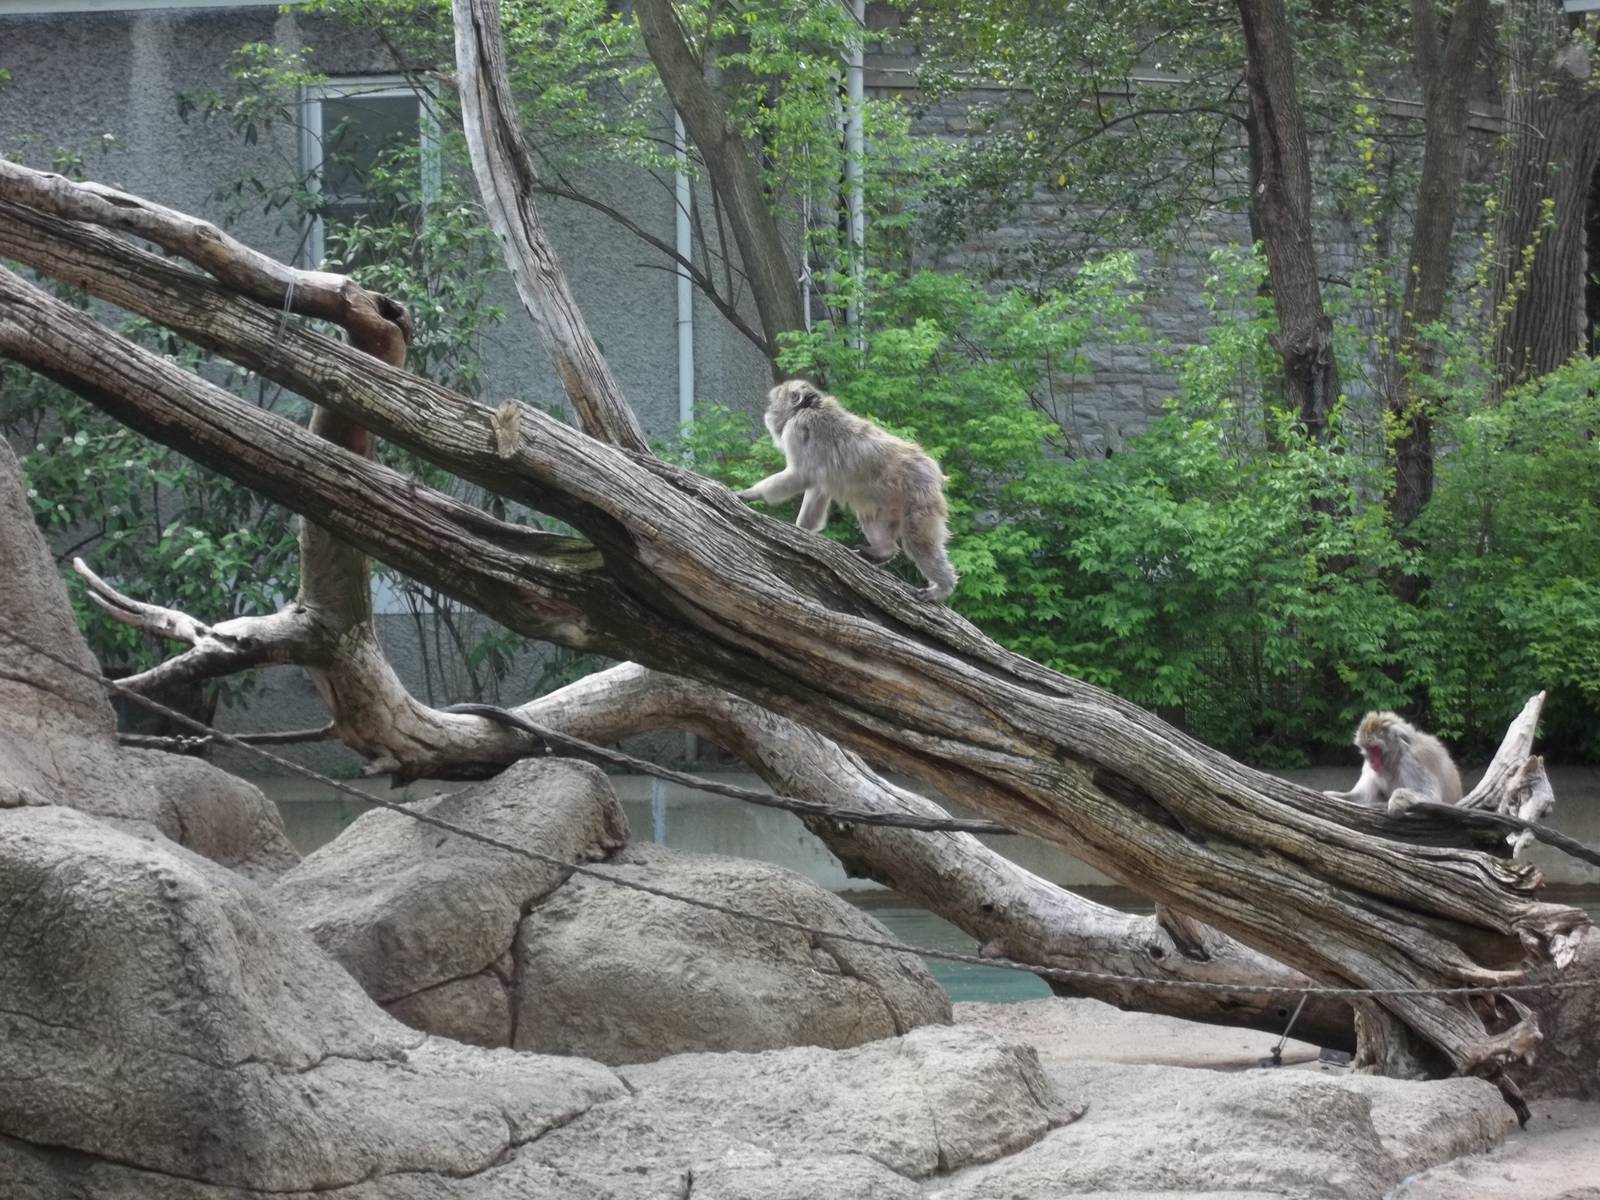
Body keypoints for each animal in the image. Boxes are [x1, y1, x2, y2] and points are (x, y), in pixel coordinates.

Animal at [734, 380, 959, 602]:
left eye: (776, 398)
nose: (769, 409)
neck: (809, 407)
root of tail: (935, 471)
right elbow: (818, 487)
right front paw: (803, 529)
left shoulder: (796, 429)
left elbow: (801, 475)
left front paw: (751, 493)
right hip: (890, 501)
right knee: (872, 518)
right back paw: (883, 551)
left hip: (919, 495)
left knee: (919, 541)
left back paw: (942, 587)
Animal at [1323, 711, 1462, 816]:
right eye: (1367, 749)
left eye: (1374, 748)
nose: (1371, 761)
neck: (1397, 756)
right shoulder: (1368, 767)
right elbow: (1360, 797)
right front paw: (1331, 795)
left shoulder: (1413, 760)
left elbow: (1431, 796)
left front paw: (1397, 800)